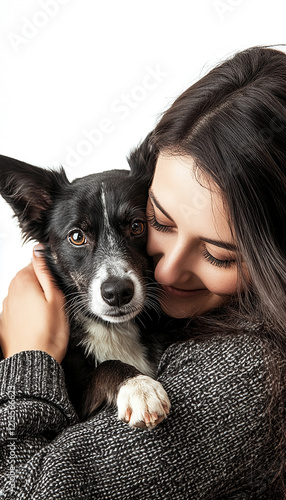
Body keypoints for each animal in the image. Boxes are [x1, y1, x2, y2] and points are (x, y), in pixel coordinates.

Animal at [0, 137, 170, 430]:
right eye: (77, 237)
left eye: (138, 226)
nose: (117, 293)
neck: (113, 328)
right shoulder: (76, 411)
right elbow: (107, 366)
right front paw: (139, 387)